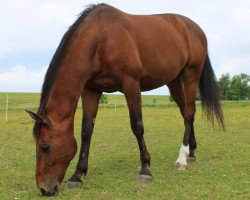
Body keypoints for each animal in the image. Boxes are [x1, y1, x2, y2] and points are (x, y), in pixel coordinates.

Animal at [26, 3, 224, 196]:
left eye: (45, 147)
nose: (44, 189)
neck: (101, 40)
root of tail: (195, 28)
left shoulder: (131, 86)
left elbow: (137, 126)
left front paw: (145, 169)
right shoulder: (91, 90)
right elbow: (86, 131)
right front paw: (77, 175)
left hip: (191, 74)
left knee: (189, 113)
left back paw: (182, 158)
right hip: (174, 80)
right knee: (185, 113)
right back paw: (191, 151)